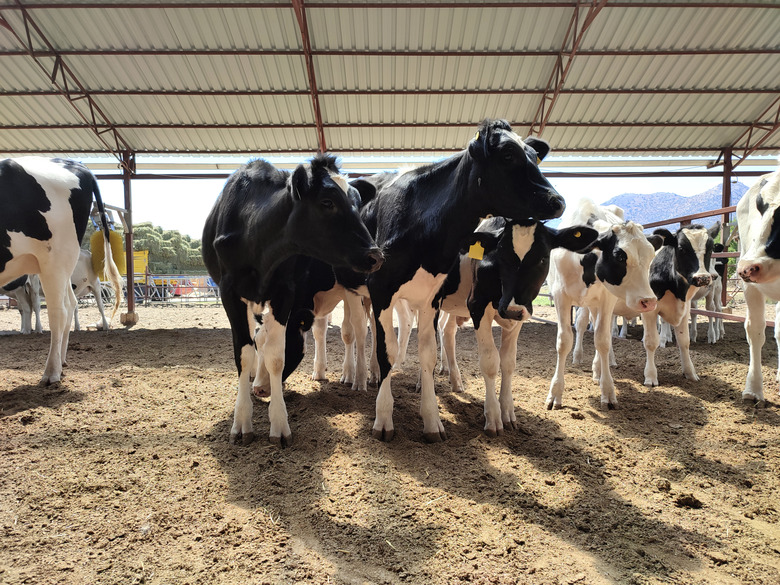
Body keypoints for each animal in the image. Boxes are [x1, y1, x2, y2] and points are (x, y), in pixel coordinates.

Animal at [0, 156, 122, 384]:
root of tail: (75, 163)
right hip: (61, 269)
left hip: (56, 261)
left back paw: (51, 372)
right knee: (70, 304)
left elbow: (31, 308)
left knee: (60, 311)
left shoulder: (28, 283)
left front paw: (31, 330)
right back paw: (62, 359)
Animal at [201, 153, 384, 444]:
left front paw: (278, 424)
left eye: (356, 204)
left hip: (358, 287)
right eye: (327, 202)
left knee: (364, 329)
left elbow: (278, 357)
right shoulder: (230, 293)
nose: (375, 255)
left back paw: (362, 375)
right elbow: (246, 353)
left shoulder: (286, 292)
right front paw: (242, 421)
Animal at [362, 118, 564, 440]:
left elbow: (429, 354)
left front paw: (432, 420)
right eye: (508, 155)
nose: (557, 201)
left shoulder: (431, 297)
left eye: (535, 156)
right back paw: (366, 374)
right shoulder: (381, 289)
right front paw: (383, 418)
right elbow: (386, 351)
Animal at [432, 218, 596, 434]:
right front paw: (493, 417)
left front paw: (508, 412)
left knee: (447, 331)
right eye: (501, 256)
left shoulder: (521, 314)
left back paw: (455, 380)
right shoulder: (477, 305)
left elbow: (508, 362)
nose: (511, 310)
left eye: (543, 258)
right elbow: (490, 361)